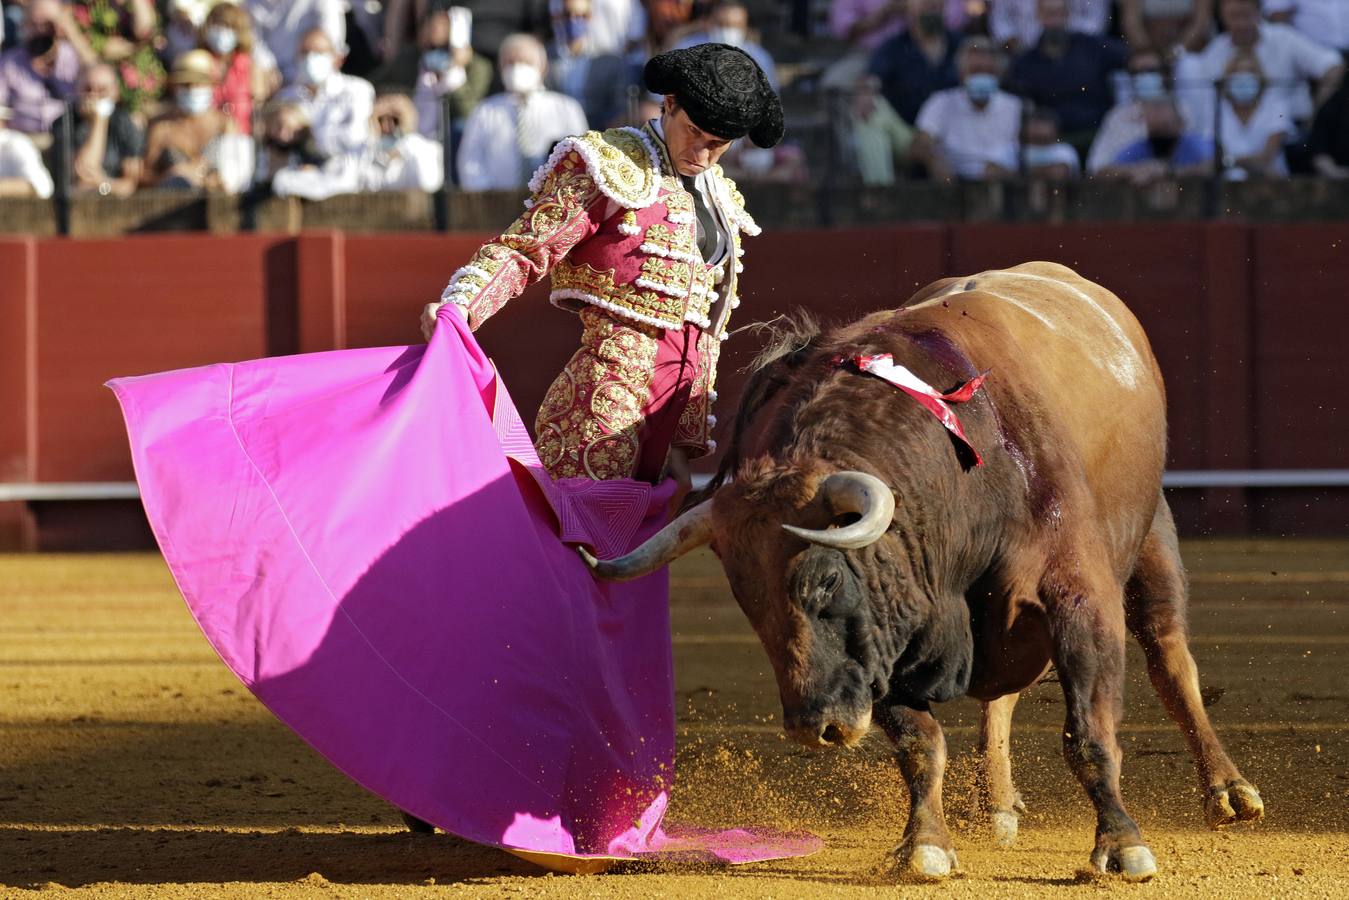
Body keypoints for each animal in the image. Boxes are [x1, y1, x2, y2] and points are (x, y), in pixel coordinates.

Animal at [588, 261, 1262, 879]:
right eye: (747, 599)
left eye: (827, 580)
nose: (815, 727)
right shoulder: (887, 642)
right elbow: (921, 746)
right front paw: (925, 846)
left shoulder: (1079, 600)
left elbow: (1090, 732)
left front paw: (1122, 846)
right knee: (1003, 696)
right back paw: (998, 804)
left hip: (1152, 537)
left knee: (1169, 658)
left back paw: (1229, 794)